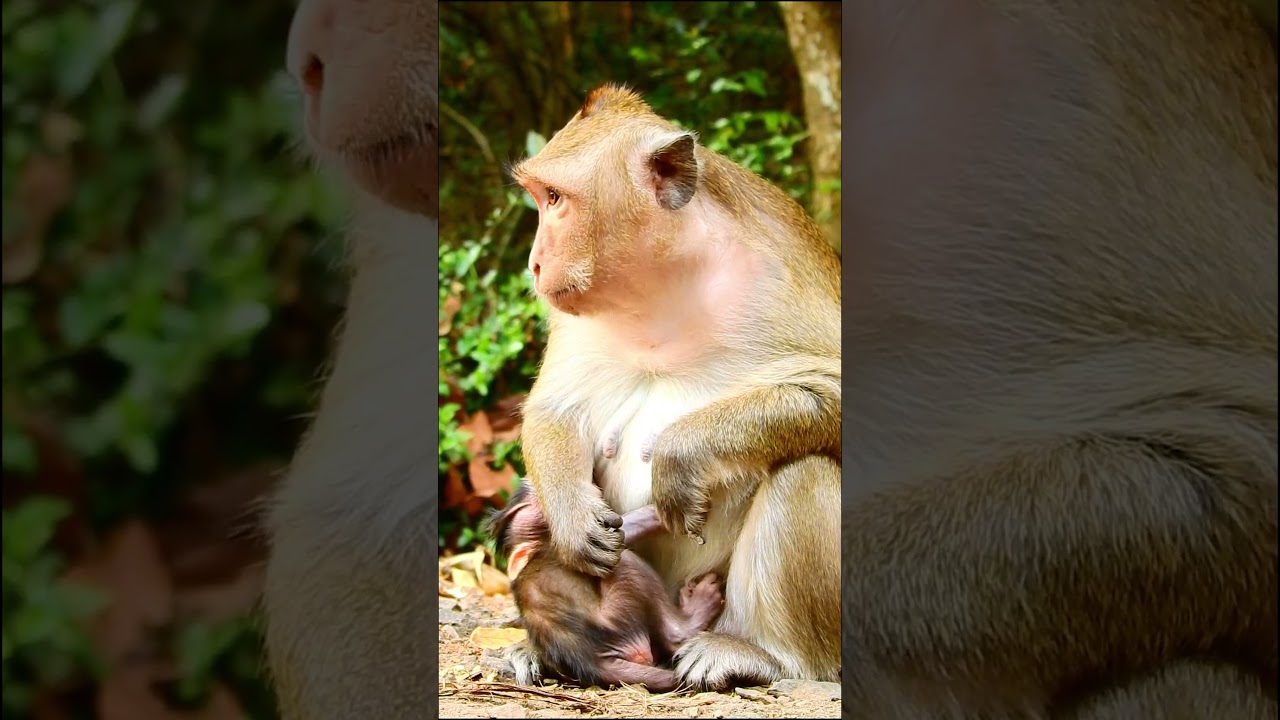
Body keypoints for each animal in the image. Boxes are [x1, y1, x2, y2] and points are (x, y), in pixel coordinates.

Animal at [485, 483, 725, 693]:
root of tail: (591, 661)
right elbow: (620, 533)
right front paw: (667, 509)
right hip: (619, 612)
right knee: (627, 564)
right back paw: (696, 611)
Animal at [510, 83, 843, 692]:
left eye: (556, 198)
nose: (534, 264)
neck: (666, 281)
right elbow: (554, 407)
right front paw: (572, 518)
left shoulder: (782, 268)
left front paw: (682, 452)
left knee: (803, 472)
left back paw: (763, 655)